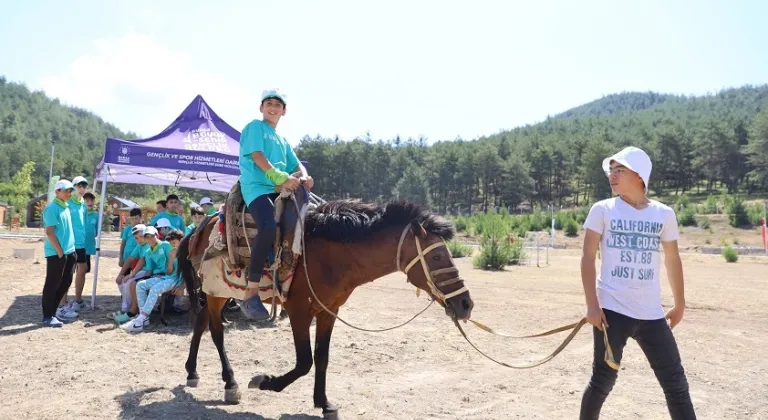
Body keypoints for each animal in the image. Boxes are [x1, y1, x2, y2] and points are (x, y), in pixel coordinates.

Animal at [182, 199, 474, 418]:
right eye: (437, 256)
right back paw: (230, 383)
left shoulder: (328, 311)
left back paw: (192, 371)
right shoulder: (299, 311)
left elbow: (321, 357)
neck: (329, 256)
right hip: (217, 292)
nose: (465, 304)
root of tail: (203, 225)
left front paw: (324, 403)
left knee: (201, 322)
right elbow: (304, 361)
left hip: (215, 293)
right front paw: (265, 381)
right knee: (216, 332)